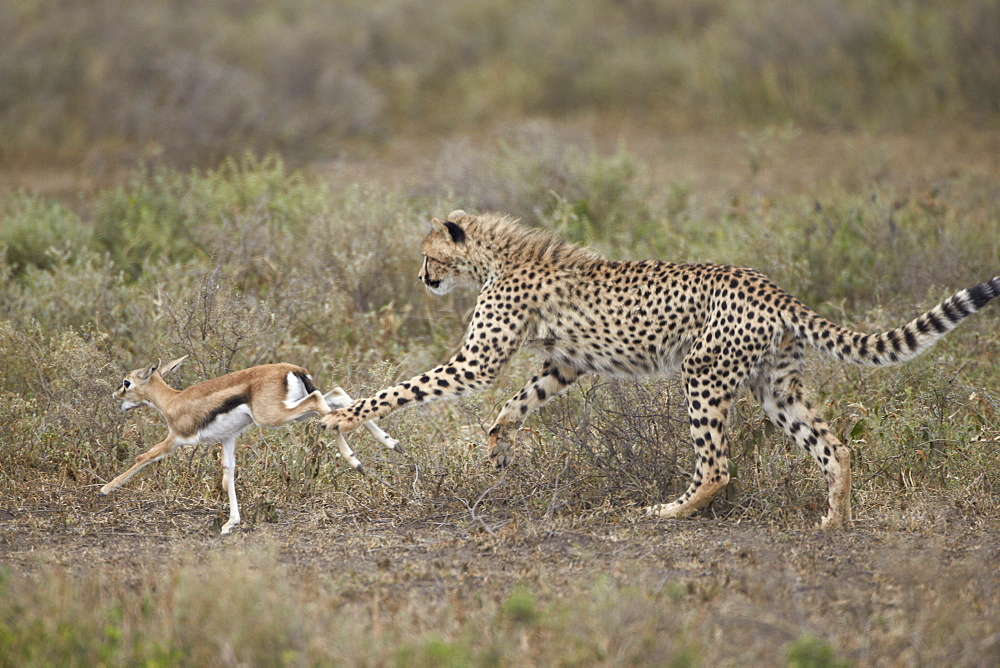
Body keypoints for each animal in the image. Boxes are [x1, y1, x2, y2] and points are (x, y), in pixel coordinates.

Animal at [322, 209, 1000, 528]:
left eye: (428, 254)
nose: (423, 278)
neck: (496, 258)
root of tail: (773, 287)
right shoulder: (565, 363)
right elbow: (515, 404)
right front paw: (499, 446)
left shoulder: (475, 363)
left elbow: (408, 388)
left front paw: (346, 418)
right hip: (775, 388)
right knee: (836, 446)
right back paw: (836, 518)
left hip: (701, 372)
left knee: (718, 466)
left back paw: (669, 512)